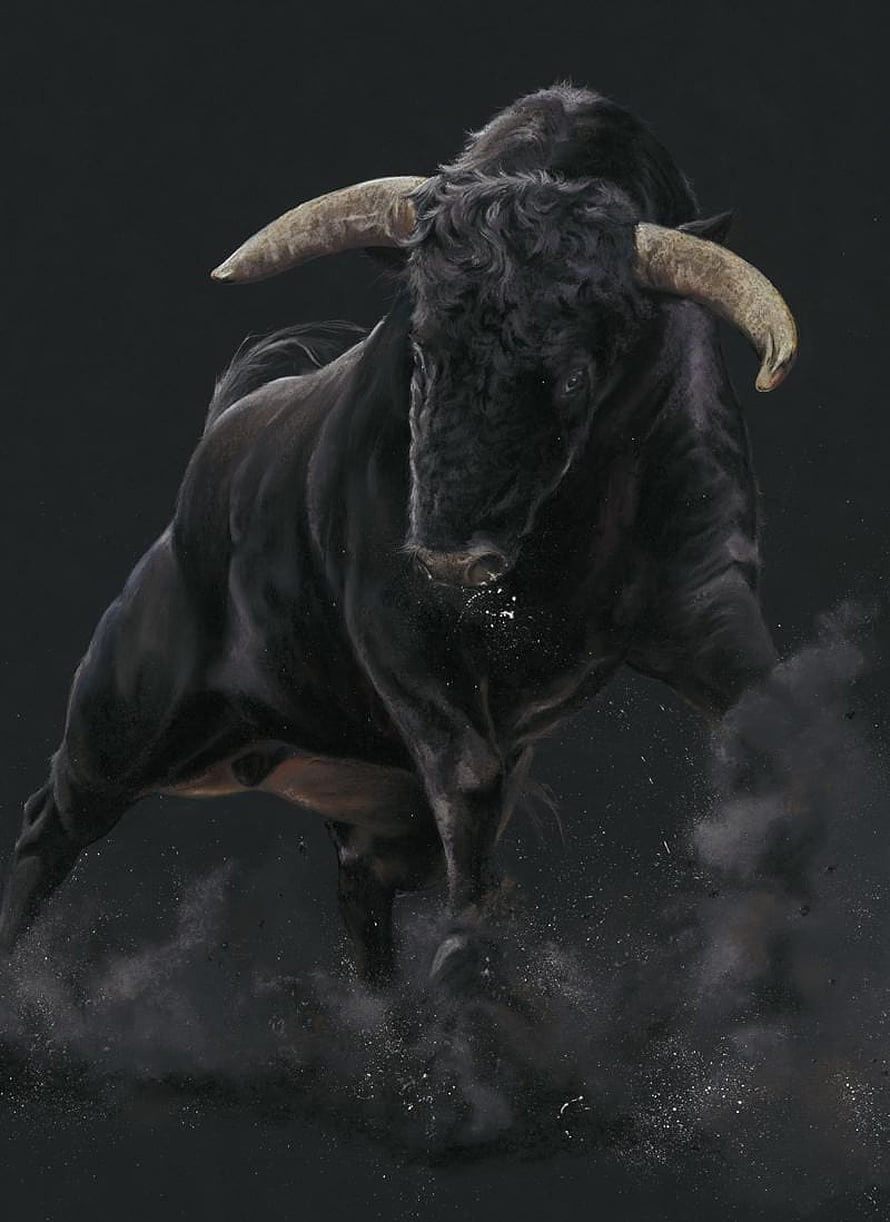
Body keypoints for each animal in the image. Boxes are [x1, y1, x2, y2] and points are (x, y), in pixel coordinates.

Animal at [0, 85, 797, 991]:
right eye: (421, 346)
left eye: (571, 375)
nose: (451, 552)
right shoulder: (395, 626)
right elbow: (473, 776)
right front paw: (472, 946)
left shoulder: (703, 594)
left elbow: (769, 715)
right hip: (127, 717)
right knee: (52, 817)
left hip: (369, 810)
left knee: (362, 897)